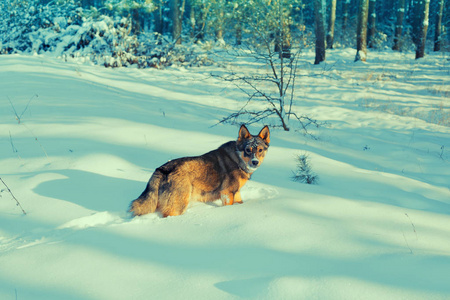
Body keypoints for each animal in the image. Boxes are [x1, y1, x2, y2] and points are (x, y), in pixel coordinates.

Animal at [130, 125, 270, 218]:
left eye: (260, 150)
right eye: (248, 150)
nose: (255, 162)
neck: (237, 159)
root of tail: (162, 169)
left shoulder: (236, 192)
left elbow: (240, 202)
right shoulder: (227, 193)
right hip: (179, 206)